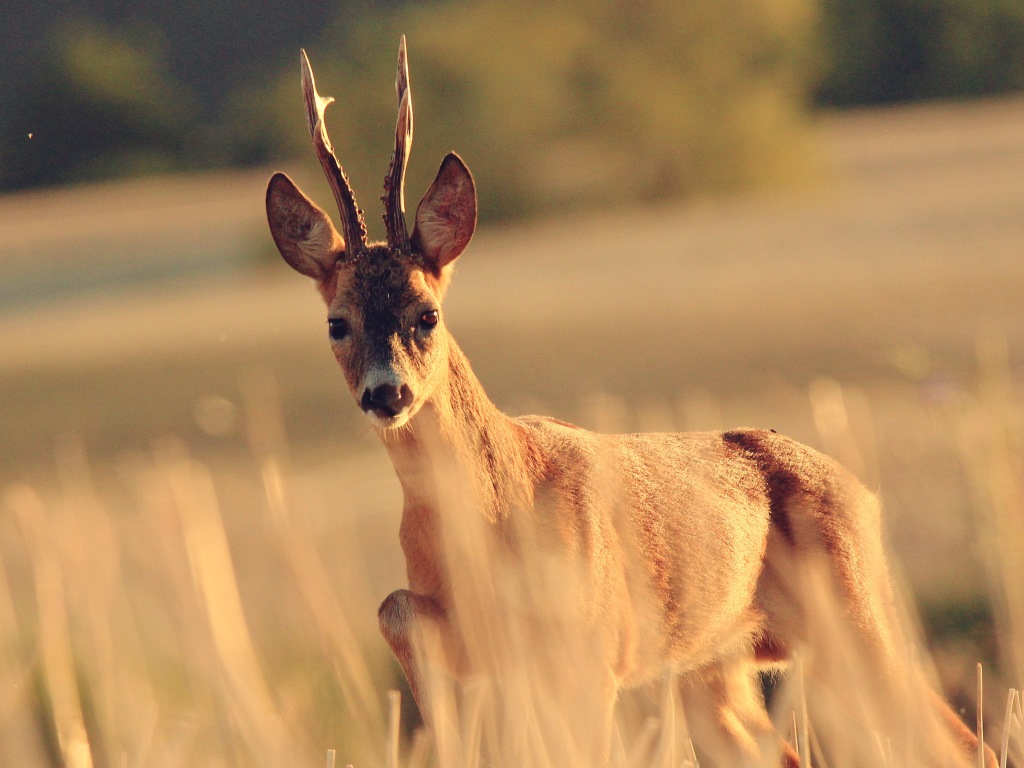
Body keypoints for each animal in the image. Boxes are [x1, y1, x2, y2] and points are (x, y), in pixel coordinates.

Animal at [264, 37, 991, 768]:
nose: (387, 393)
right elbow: (395, 611)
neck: (494, 511)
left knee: (960, 743)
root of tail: (863, 493)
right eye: (337, 323)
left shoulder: (592, 650)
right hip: (718, 666)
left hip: (856, 617)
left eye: (427, 313)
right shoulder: (470, 650)